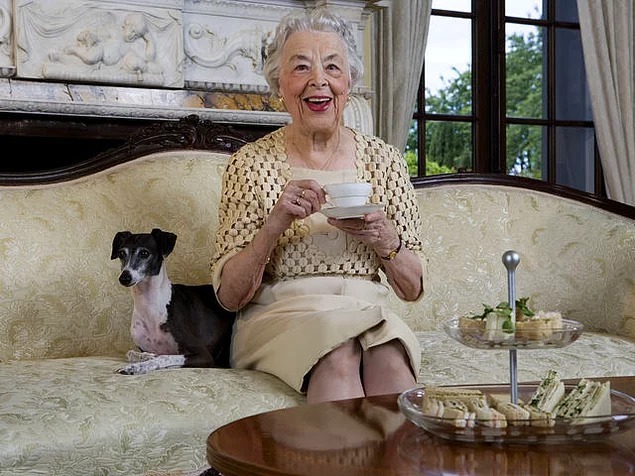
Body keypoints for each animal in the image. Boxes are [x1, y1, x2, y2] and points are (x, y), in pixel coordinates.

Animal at [111, 228, 235, 375]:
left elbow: (164, 357)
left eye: (144, 253)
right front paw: (146, 357)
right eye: (121, 254)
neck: (150, 306)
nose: (124, 278)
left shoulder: (203, 355)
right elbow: (131, 353)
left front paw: (137, 367)